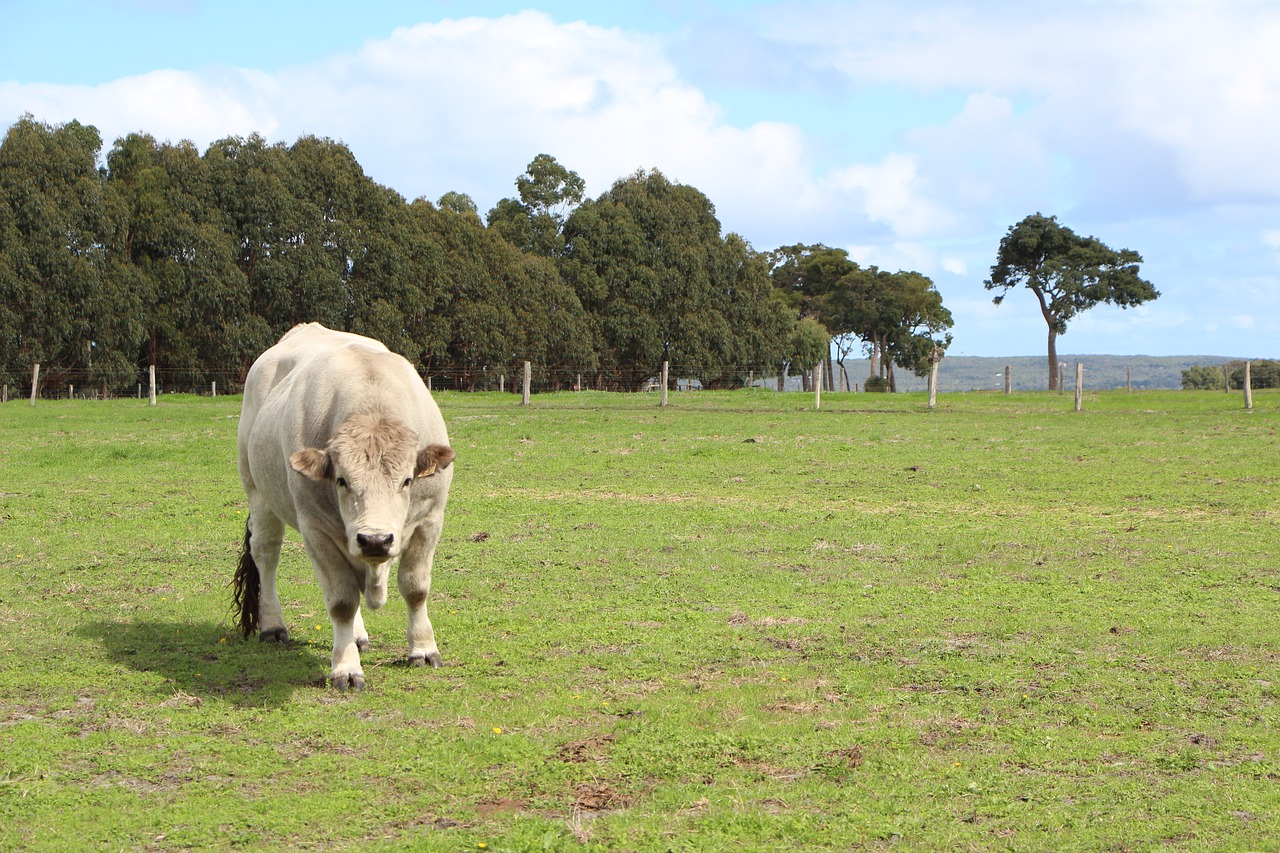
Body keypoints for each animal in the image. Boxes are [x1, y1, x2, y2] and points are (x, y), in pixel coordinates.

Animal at [235, 322, 455, 686]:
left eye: (407, 480)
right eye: (341, 480)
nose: (375, 540)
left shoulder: (430, 519)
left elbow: (415, 588)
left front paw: (423, 649)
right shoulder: (316, 529)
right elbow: (341, 600)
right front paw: (346, 668)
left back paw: (358, 634)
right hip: (258, 492)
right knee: (266, 554)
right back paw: (272, 626)